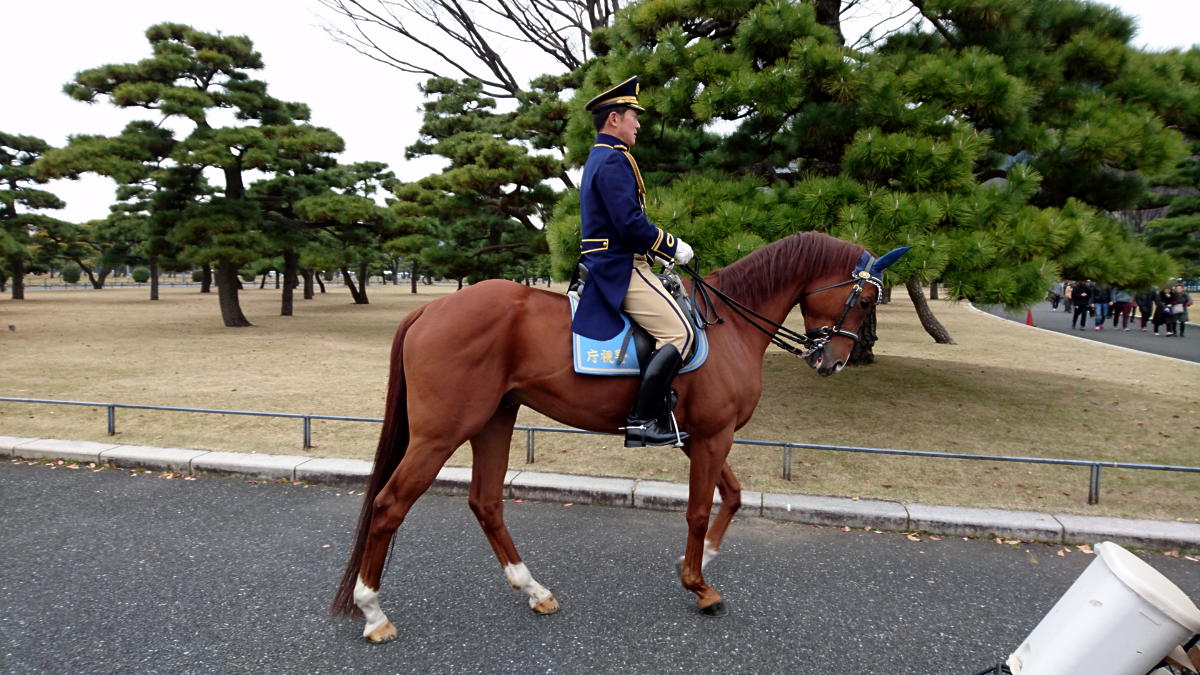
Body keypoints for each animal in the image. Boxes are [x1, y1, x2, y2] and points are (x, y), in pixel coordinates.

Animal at [331, 231, 908, 642]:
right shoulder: (713, 435)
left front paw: (702, 561)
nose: (832, 361)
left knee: (486, 502)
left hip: (495, 418)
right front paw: (700, 587)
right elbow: (699, 509)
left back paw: (533, 589)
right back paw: (374, 612)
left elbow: (733, 495)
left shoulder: (699, 436)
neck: (727, 324)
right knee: (389, 505)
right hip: (442, 432)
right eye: (866, 299)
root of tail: (430, 307)